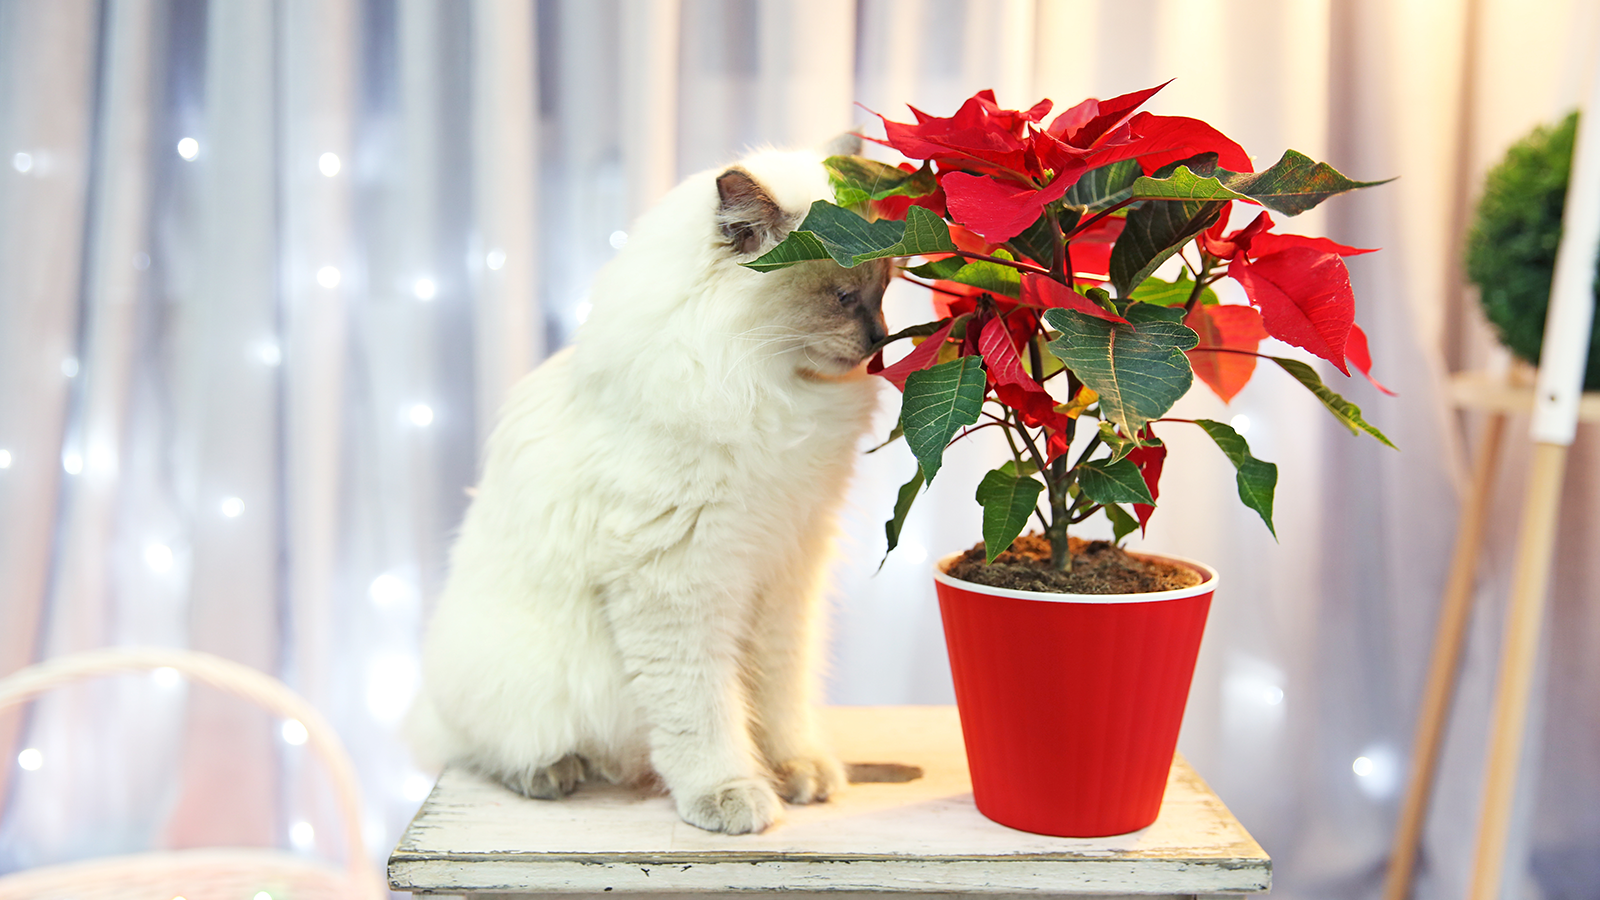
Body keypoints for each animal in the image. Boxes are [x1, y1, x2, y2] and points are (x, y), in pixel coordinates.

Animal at [406, 143, 889, 832]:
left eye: (886, 288)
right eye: (844, 294)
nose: (880, 341)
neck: (772, 390)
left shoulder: (786, 566)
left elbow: (779, 694)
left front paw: (795, 771)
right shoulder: (676, 580)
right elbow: (704, 711)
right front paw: (731, 794)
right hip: (522, 677)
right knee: (477, 748)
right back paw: (553, 773)